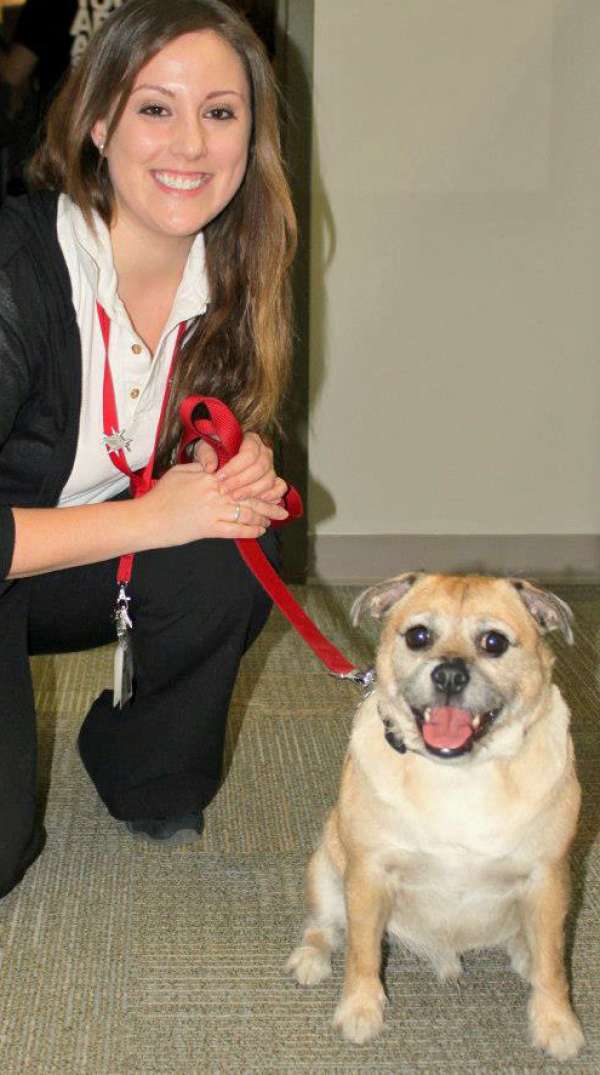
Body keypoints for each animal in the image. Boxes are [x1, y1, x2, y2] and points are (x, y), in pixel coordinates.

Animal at [290, 576, 584, 1062]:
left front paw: (556, 1024)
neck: (460, 773)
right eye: (419, 636)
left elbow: (553, 966)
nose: (448, 675)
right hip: (326, 866)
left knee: (536, 945)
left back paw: (524, 953)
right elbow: (362, 952)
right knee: (325, 926)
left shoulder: (547, 876)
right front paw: (360, 1010)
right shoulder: (368, 873)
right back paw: (311, 959)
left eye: (493, 642)